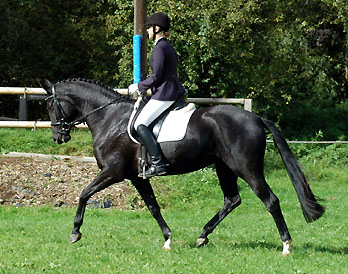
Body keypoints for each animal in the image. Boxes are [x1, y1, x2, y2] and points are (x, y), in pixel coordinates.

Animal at [42, 78, 324, 254]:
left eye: (50, 105)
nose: (58, 137)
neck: (109, 119)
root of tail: (254, 117)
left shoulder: (113, 172)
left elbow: (83, 194)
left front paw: (75, 232)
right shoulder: (138, 177)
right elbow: (153, 207)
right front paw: (167, 239)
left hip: (247, 169)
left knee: (270, 200)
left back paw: (286, 245)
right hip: (224, 167)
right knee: (232, 200)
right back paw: (202, 236)